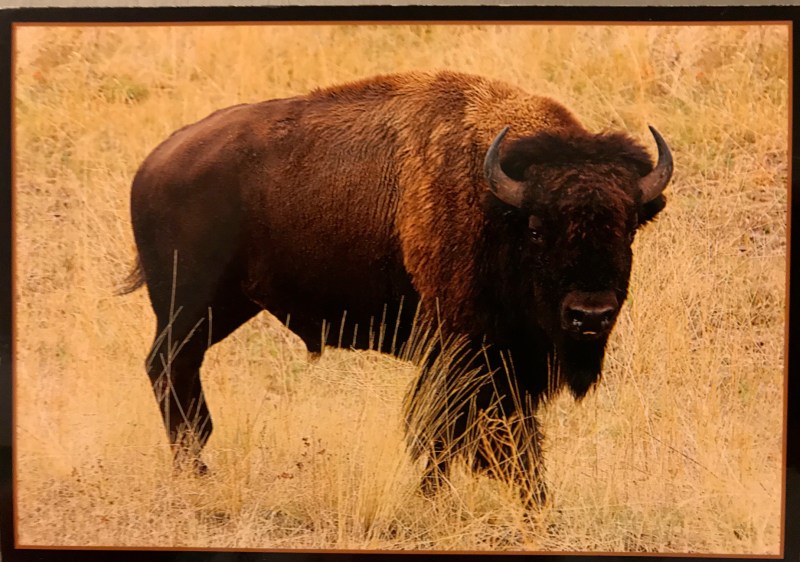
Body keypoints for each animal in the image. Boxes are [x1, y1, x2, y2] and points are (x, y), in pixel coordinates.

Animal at [122, 70, 672, 505]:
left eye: (627, 227)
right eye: (538, 228)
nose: (590, 315)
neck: (498, 209)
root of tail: (154, 163)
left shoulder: (512, 361)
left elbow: (509, 434)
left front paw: (534, 502)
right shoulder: (459, 350)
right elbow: (444, 430)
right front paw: (434, 498)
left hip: (225, 307)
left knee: (177, 372)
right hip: (189, 304)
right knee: (167, 369)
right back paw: (195, 469)